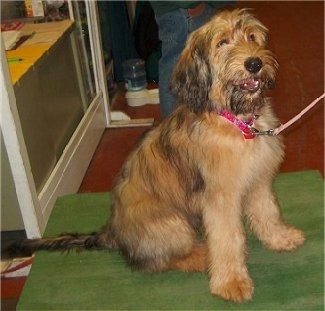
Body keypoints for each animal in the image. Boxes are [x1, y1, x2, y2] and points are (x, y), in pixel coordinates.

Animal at [10, 9, 304, 302]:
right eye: (222, 42)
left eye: (252, 37)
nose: (254, 63)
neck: (235, 120)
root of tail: (112, 233)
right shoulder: (220, 197)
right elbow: (227, 238)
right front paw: (232, 282)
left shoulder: (258, 179)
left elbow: (267, 212)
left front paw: (280, 238)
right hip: (173, 224)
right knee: (162, 260)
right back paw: (202, 256)